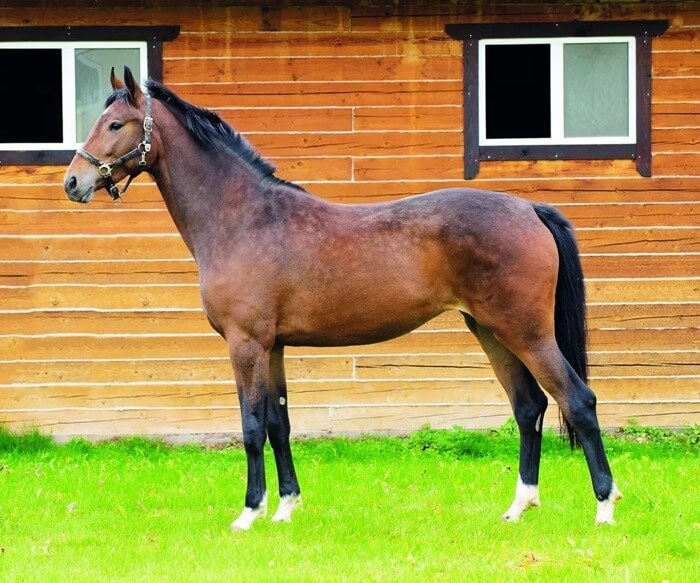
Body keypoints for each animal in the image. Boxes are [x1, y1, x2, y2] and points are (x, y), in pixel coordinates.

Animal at [64, 67, 622, 529]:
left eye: (114, 125)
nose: (73, 181)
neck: (242, 217)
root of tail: (529, 209)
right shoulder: (274, 347)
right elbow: (279, 423)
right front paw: (285, 508)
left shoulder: (246, 344)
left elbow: (250, 425)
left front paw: (249, 514)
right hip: (489, 330)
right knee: (529, 408)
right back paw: (518, 507)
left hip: (525, 331)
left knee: (577, 400)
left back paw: (604, 508)